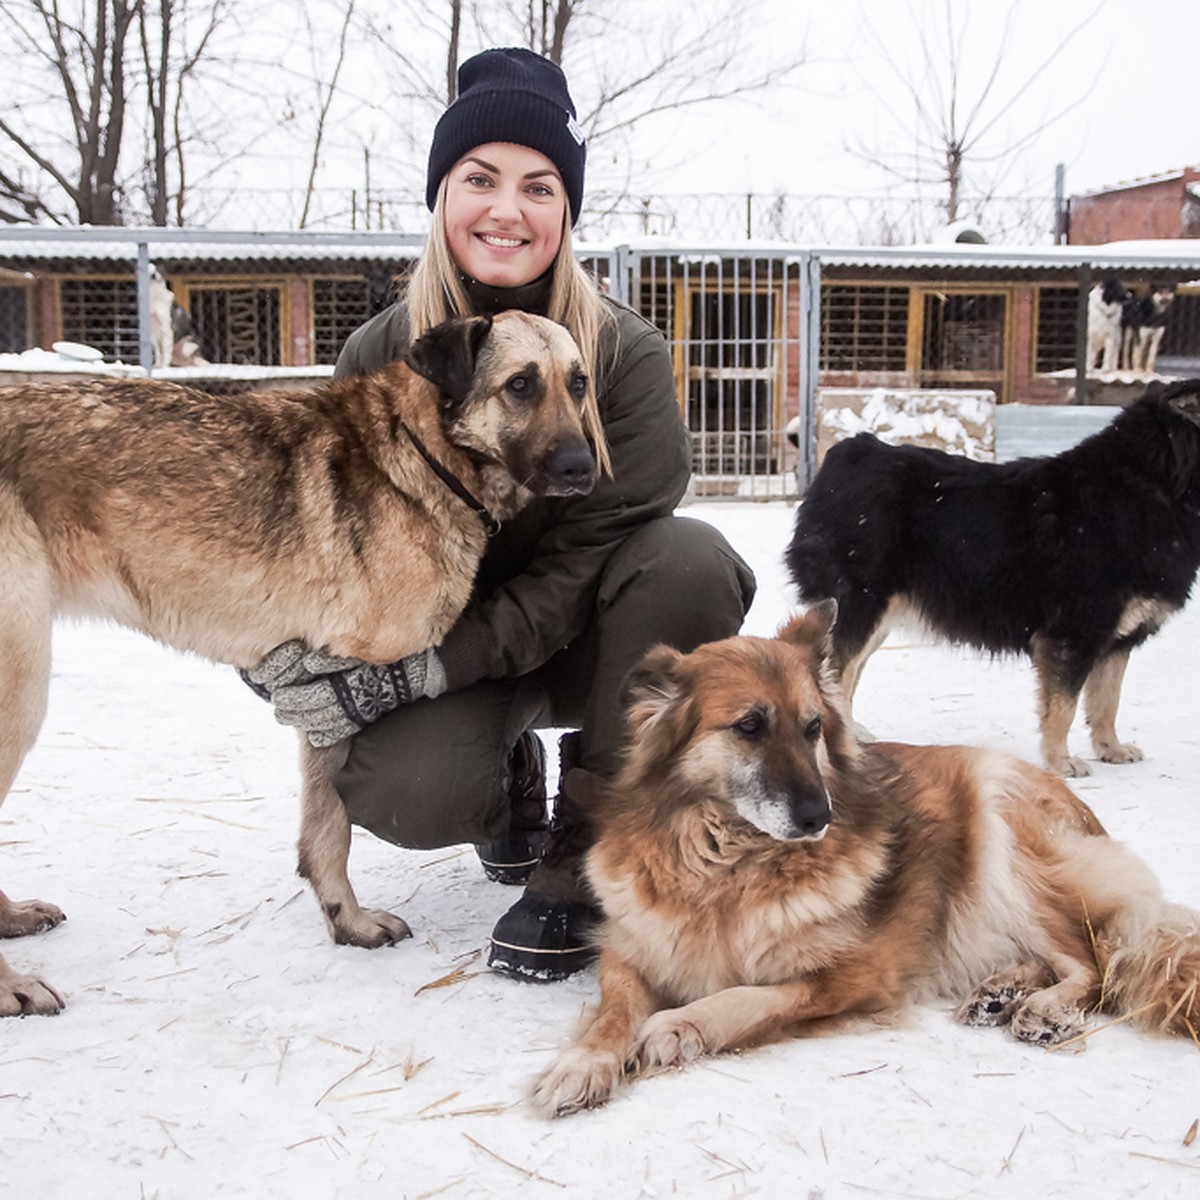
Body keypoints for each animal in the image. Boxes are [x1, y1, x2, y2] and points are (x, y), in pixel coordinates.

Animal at [0, 309, 600, 1012]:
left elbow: (320, 828)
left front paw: (345, 922)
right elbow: (332, 828)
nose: (584, 469)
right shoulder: (339, 686)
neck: (423, 455)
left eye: (579, 383)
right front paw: (353, 920)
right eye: (520, 385)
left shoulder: (326, 695)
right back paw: (12, 986)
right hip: (20, 692)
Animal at [535, 604, 1200, 1118]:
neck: (728, 862)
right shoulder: (629, 955)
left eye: (811, 728)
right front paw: (581, 1064)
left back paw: (1041, 1009)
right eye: (749, 726)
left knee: (1090, 964)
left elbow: (751, 997)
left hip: (1001, 819)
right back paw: (1000, 991)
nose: (819, 817)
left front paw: (680, 1025)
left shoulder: (856, 976)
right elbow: (611, 1015)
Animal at [782, 384, 1200, 777]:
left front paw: (1110, 748)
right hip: (859, 607)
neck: (1152, 484)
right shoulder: (1073, 633)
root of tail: (849, 452)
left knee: (844, 678)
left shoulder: (1115, 640)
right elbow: (1063, 706)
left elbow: (1107, 700)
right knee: (835, 676)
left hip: (875, 616)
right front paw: (1060, 761)